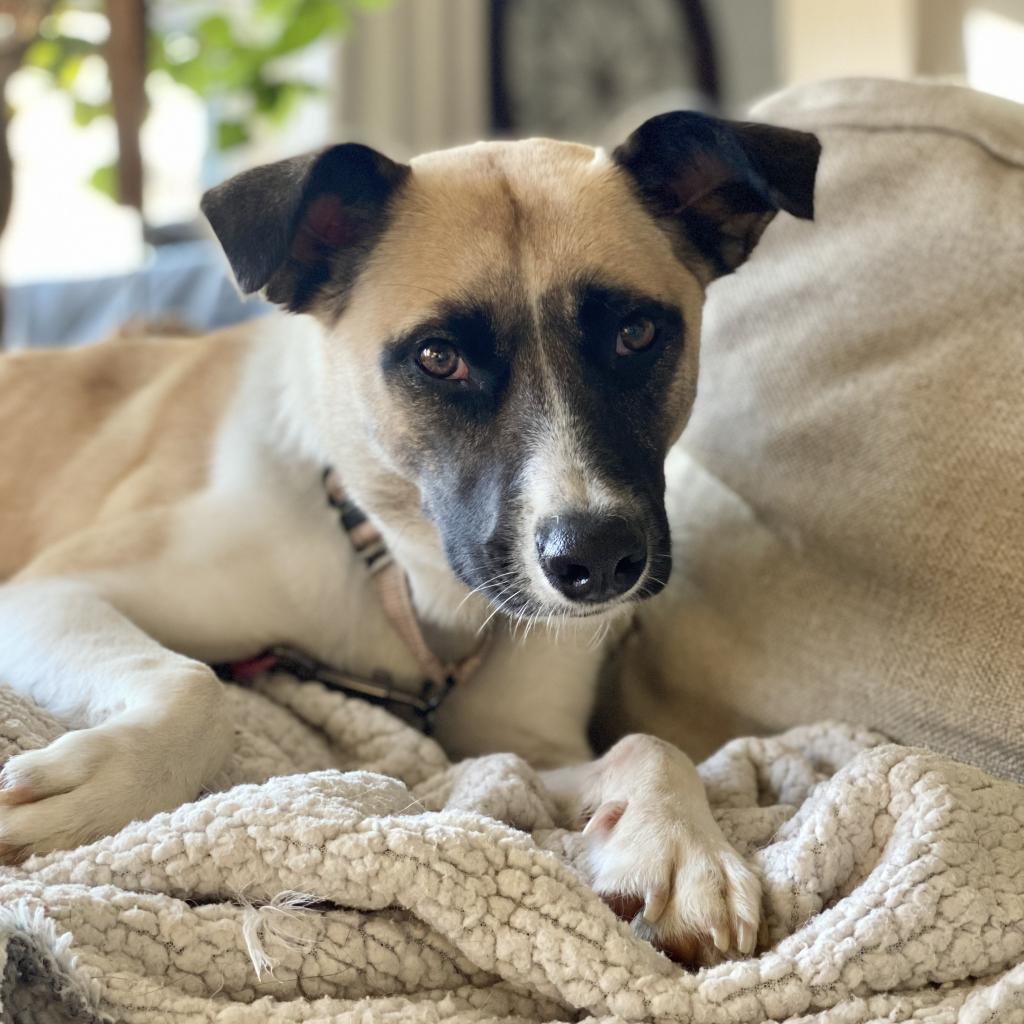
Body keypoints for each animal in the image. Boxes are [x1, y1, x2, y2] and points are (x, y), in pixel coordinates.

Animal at [0, 114, 815, 966]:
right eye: (438, 357)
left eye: (636, 333)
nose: (598, 560)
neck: (403, 577)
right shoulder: (49, 589)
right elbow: (198, 684)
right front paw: (106, 787)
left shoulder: (514, 744)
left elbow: (650, 745)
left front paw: (683, 846)